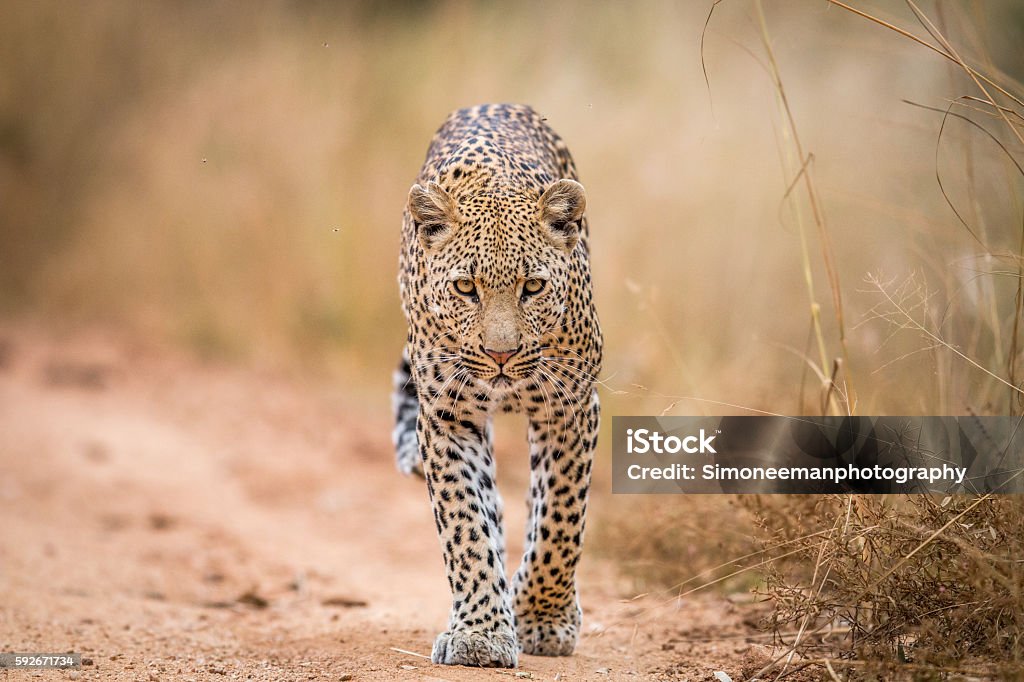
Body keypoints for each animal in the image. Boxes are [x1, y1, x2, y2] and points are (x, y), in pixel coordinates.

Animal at [389, 103, 598, 667]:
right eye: (466, 287)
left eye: (534, 286)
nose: (500, 354)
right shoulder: (447, 417)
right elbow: (465, 524)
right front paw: (480, 632)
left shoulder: (570, 408)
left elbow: (559, 520)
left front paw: (544, 620)